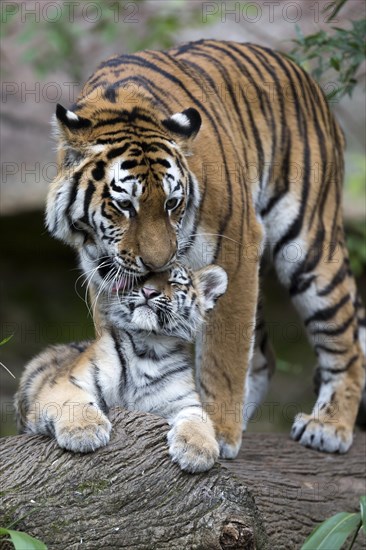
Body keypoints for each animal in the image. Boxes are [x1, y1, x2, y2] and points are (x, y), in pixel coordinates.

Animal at [47, 41, 364, 460]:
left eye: (171, 203)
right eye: (125, 205)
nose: (158, 265)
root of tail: (307, 79)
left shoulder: (238, 247)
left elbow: (224, 353)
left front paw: (217, 431)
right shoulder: (101, 272)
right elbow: (113, 345)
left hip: (309, 246)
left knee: (344, 337)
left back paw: (328, 426)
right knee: (263, 356)